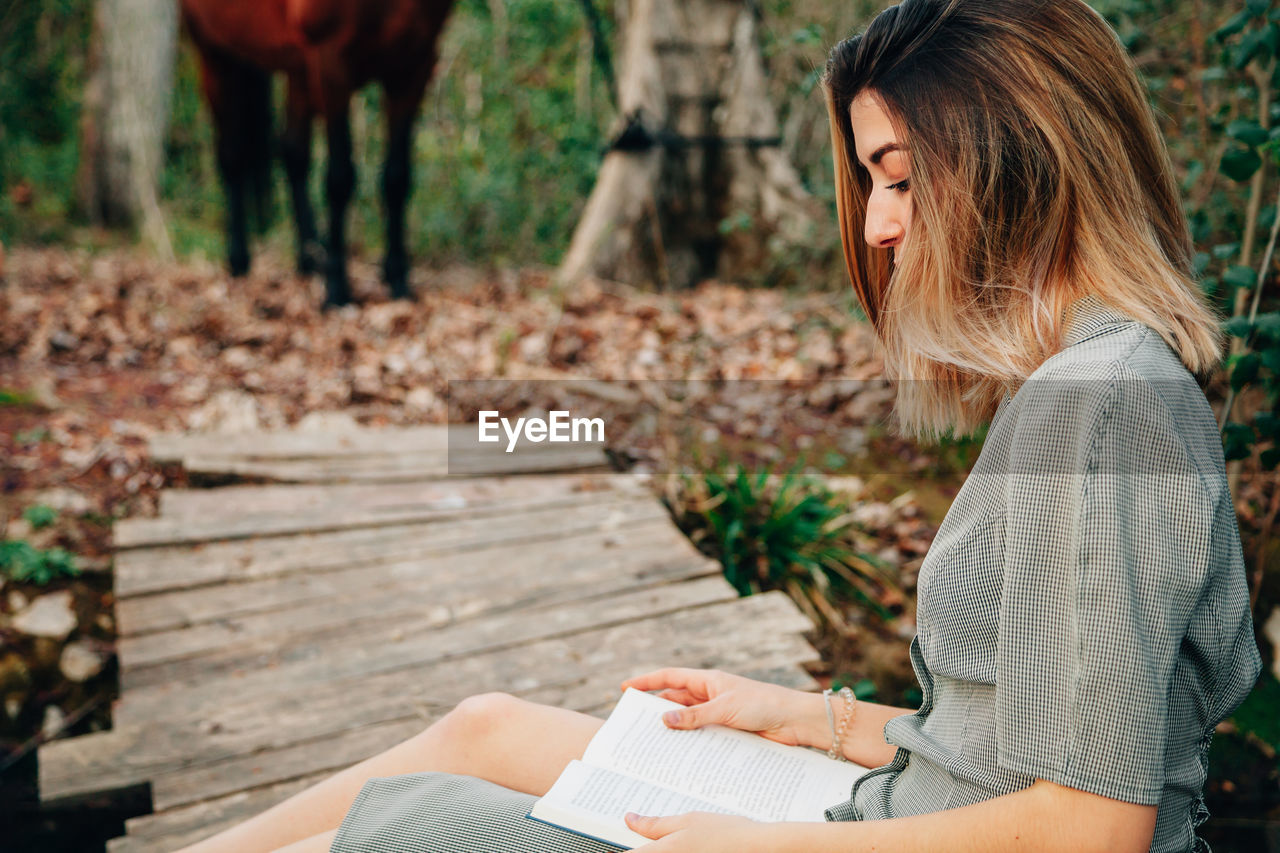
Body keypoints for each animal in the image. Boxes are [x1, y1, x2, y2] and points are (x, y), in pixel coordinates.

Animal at [177, 0, 458, 306]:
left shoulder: (414, 66)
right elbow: (340, 179)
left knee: (293, 154)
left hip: (297, 68)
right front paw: (337, 289)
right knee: (232, 157)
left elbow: (397, 179)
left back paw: (310, 260)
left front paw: (398, 282)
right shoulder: (331, 63)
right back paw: (239, 261)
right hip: (215, 53)